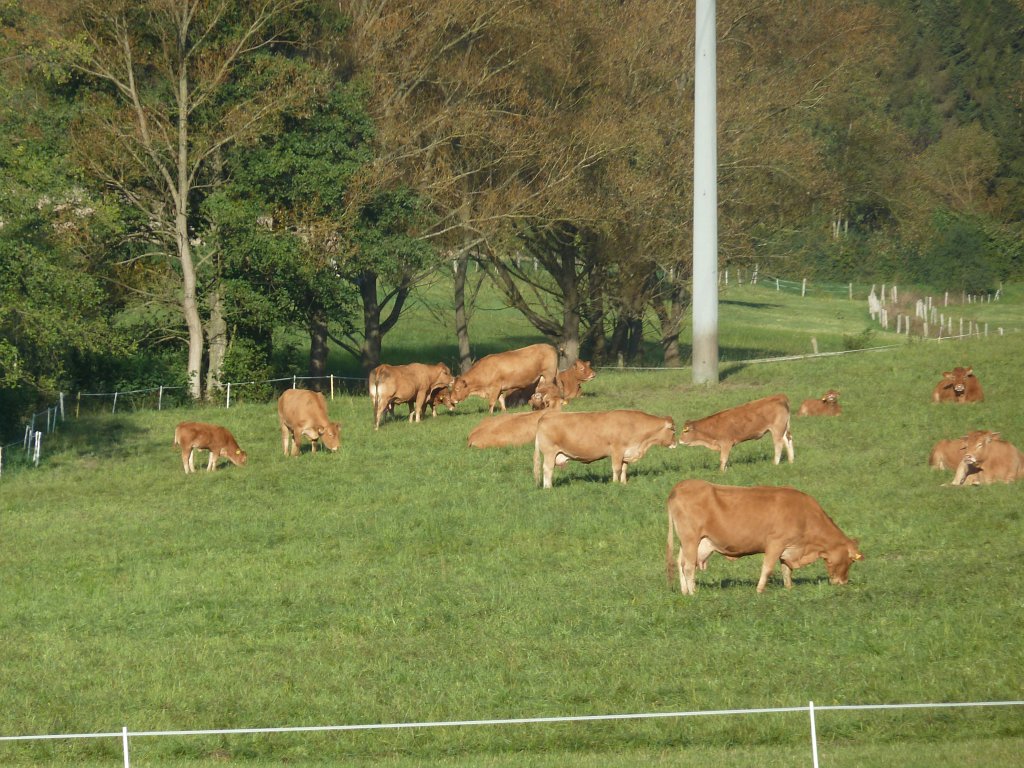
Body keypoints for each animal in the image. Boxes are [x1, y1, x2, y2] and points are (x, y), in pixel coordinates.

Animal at [533, 409, 676, 488]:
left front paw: (624, 483)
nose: (675, 443)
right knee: (547, 469)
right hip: (549, 453)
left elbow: (624, 468)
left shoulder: (626, 453)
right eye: (673, 430)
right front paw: (615, 483)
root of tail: (546, 416)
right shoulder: (617, 450)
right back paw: (548, 487)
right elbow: (616, 468)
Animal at [665, 479, 863, 594]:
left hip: (689, 542)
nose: (843, 582)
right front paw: (759, 590)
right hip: (691, 539)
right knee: (688, 566)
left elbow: (786, 569)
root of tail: (682, 485)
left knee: (681, 563)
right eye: (851, 561)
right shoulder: (776, 543)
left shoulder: (788, 547)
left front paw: (789, 588)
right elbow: (767, 568)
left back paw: (684, 591)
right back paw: (693, 592)